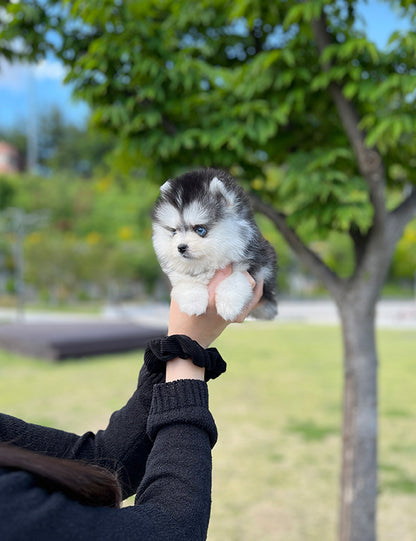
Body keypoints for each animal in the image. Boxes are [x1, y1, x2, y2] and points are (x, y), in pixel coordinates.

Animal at [151, 169, 278, 318]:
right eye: (174, 231)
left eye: (200, 229)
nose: (181, 248)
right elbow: (185, 279)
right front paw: (192, 301)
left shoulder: (259, 262)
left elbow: (237, 277)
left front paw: (228, 303)